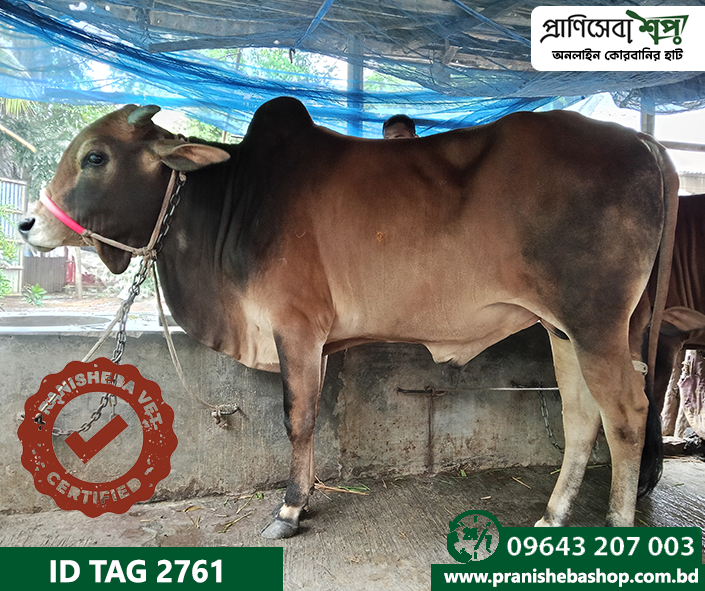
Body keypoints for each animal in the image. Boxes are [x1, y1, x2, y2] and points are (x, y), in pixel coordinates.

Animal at [18, 98, 678, 538]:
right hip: (563, 328)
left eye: (96, 156)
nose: (28, 224)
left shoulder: (295, 327)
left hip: (597, 324)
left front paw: (290, 509)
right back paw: (551, 515)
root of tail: (641, 143)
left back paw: (618, 526)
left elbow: (299, 418)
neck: (233, 197)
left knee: (627, 414)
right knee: (581, 417)